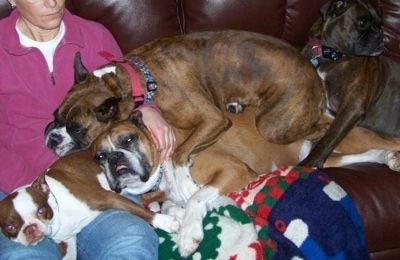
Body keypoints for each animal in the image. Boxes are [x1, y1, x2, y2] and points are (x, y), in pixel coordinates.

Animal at [0, 151, 178, 258]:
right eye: (9, 227)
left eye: (41, 210)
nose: (30, 229)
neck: (58, 206)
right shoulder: (68, 241)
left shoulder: (107, 197)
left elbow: (140, 211)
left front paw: (167, 223)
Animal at [45, 30, 326, 167]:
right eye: (55, 116)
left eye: (76, 129)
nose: (53, 138)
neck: (139, 76)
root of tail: (315, 75)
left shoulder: (213, 120)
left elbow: (180, 152)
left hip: (273, 126)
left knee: (322, 127)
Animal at [300, 0, 400, 167]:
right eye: (362, 23)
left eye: (380, 26)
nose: (380, 38)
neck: (329, 55)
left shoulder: (351, 109)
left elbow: (328, 140)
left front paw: (309, 163)